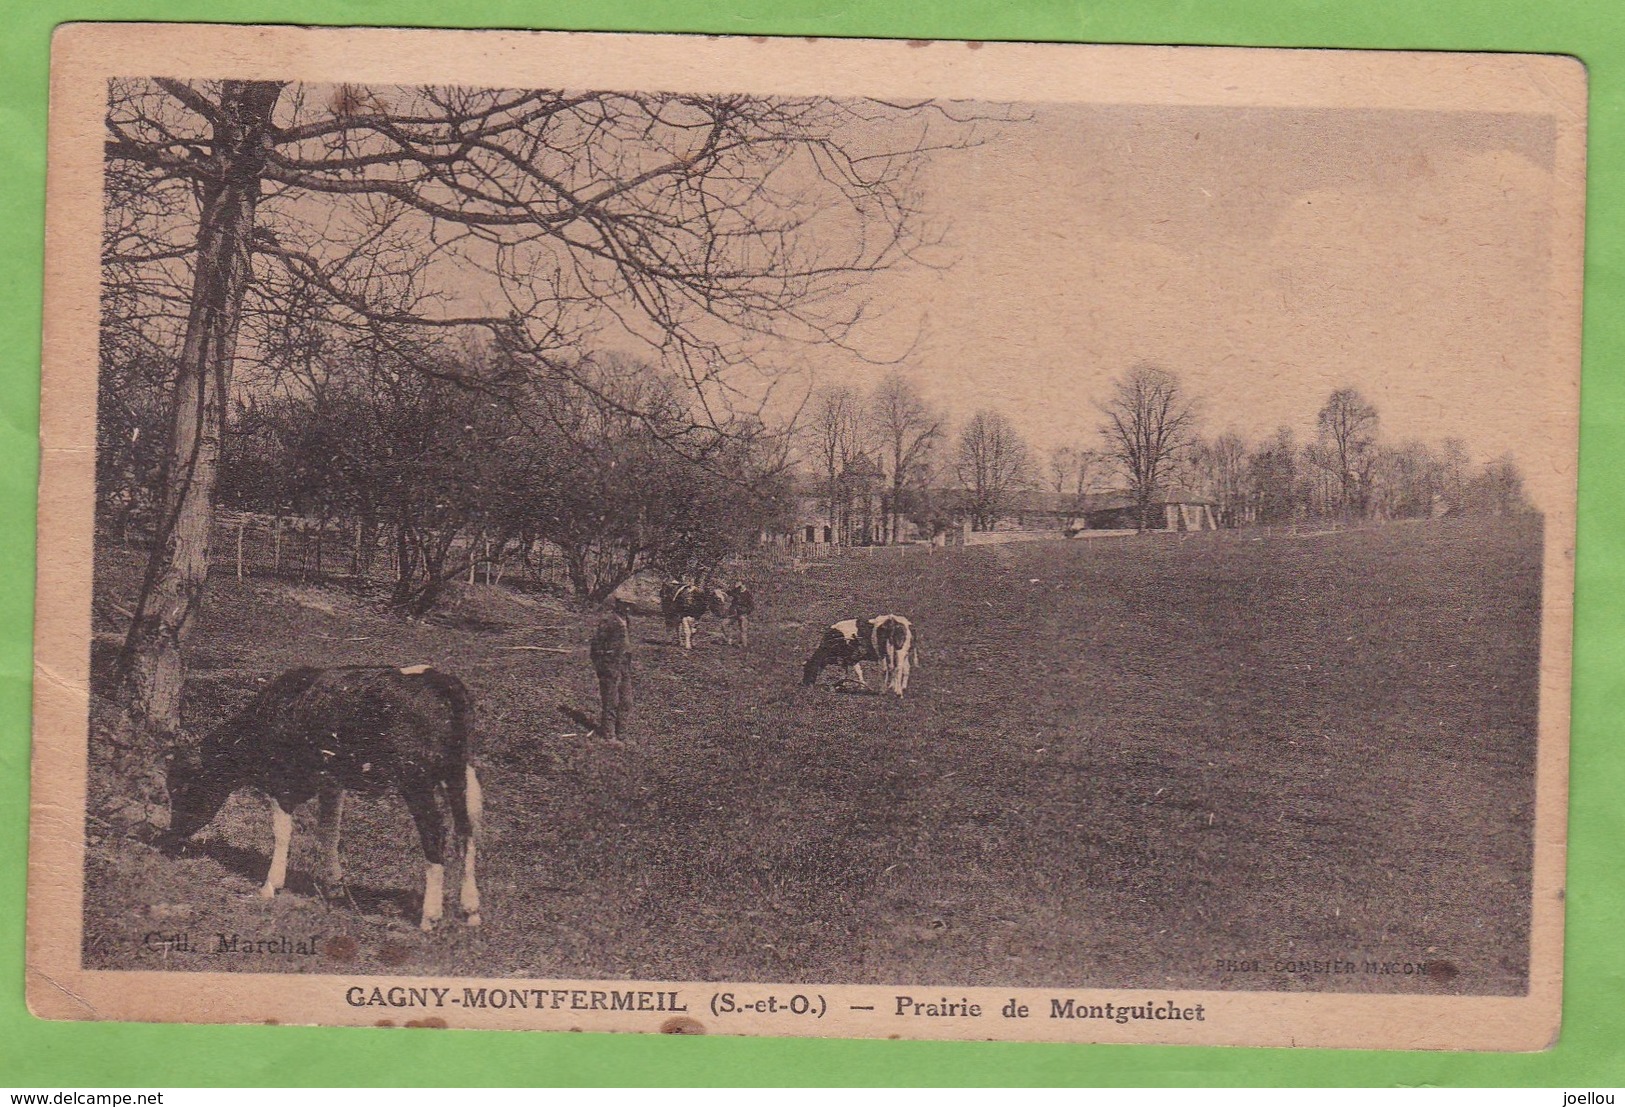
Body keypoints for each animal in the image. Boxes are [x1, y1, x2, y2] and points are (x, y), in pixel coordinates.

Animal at [163, 666, 481, 929]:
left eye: (183, 788)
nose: (170, 834)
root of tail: (441, 680)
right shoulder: (332, 782)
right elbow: (329, 832)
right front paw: (334, 886)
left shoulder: (281, 782)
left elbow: (282, 833)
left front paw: (270, 885)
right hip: (458, 773)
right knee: (466, 831)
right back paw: (471, 910)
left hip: (416, 780)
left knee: (435, 834)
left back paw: (430, 916)